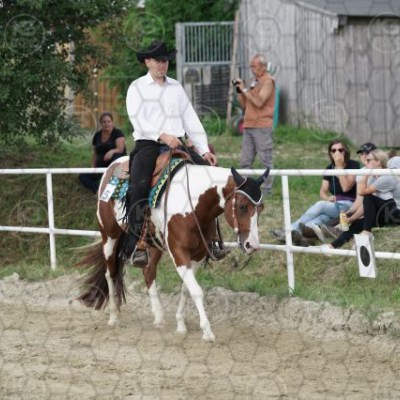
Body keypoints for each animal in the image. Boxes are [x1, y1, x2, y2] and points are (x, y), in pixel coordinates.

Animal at [77, 154, 269, 341]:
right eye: (242, 206)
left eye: (260, 208)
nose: (252, 245)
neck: (193, 206)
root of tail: (113, 165)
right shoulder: (178, 252)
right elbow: (196, 291)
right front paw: (207, 331)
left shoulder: (198, 255)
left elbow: (187, 289)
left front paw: (181, 325)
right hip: (109, 235)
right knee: (111, 273)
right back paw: (114, 316)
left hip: (153, 243)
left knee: (148, 272)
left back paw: (158, 317)